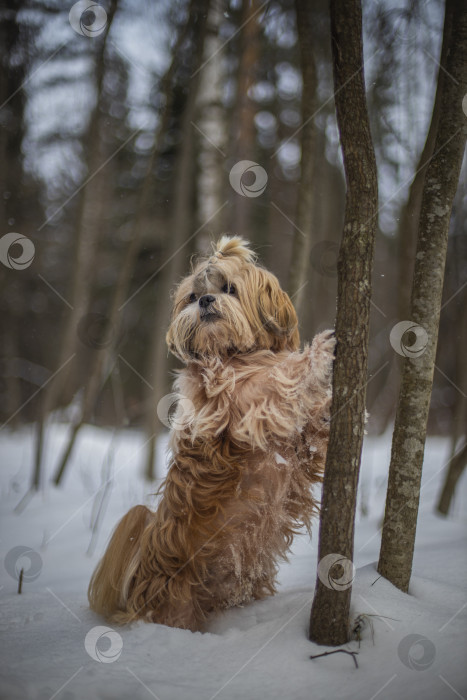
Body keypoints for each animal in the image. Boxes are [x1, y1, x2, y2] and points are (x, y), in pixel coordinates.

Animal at [88, 237, 334, 636]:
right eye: (191, 296)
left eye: (229, 288)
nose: (204, 300)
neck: (233, 355)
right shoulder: (234, 407)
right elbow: (276, 379)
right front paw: (318, 354)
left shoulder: (298, 452)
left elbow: (311, 436)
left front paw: (326, 405)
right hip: (176, 605)